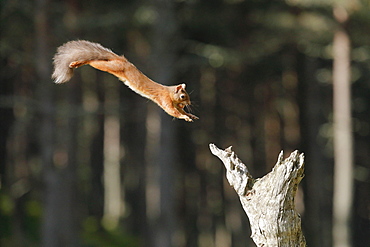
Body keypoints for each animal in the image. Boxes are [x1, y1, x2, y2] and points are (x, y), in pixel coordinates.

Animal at [51, 40, 199, 122]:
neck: (169, 92)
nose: (189, 103)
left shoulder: (174, 103)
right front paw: (185, 117)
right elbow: (172, 112)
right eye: (183, 96)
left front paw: (190, 115)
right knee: (95, 62)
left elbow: (179, 111)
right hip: (112, 67)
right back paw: (77, 63)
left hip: (113, 66)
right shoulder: (165, 99)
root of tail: (123, 60)